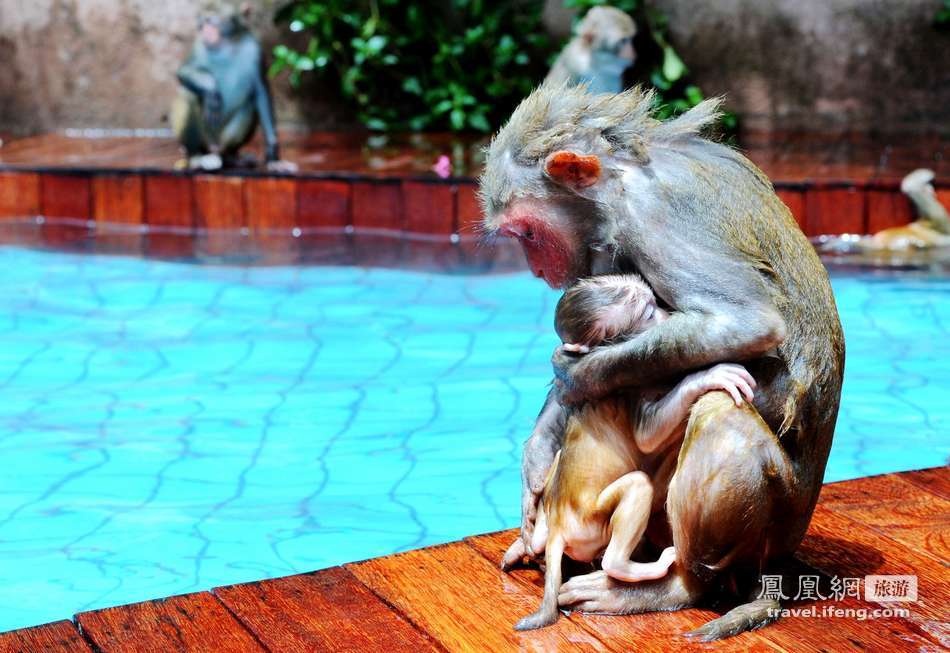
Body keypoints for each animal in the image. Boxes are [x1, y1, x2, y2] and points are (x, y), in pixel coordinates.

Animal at [173, 5, 296, 172]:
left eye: (211, 21)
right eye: (202, 23)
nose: (205, 30)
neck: (227, 43)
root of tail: (214, 147)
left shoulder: (255, 49)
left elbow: (261, 92)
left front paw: (273, 157)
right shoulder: (198, 45)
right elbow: (184, 71)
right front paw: (211, 89)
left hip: (222, 140)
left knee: (250, 104)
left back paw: (231, 156)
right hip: (206, 138)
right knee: (188, 94)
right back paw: (195, 157)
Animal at [512, 272, 760, 628]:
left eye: (653, 301)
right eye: (647, 312)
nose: (666, 313)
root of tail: (559, 528)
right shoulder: (630, 379)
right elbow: (647, 435)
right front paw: (706, 377)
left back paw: (534, 538)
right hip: (590, 523)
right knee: (638, 487)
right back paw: (628, 566)